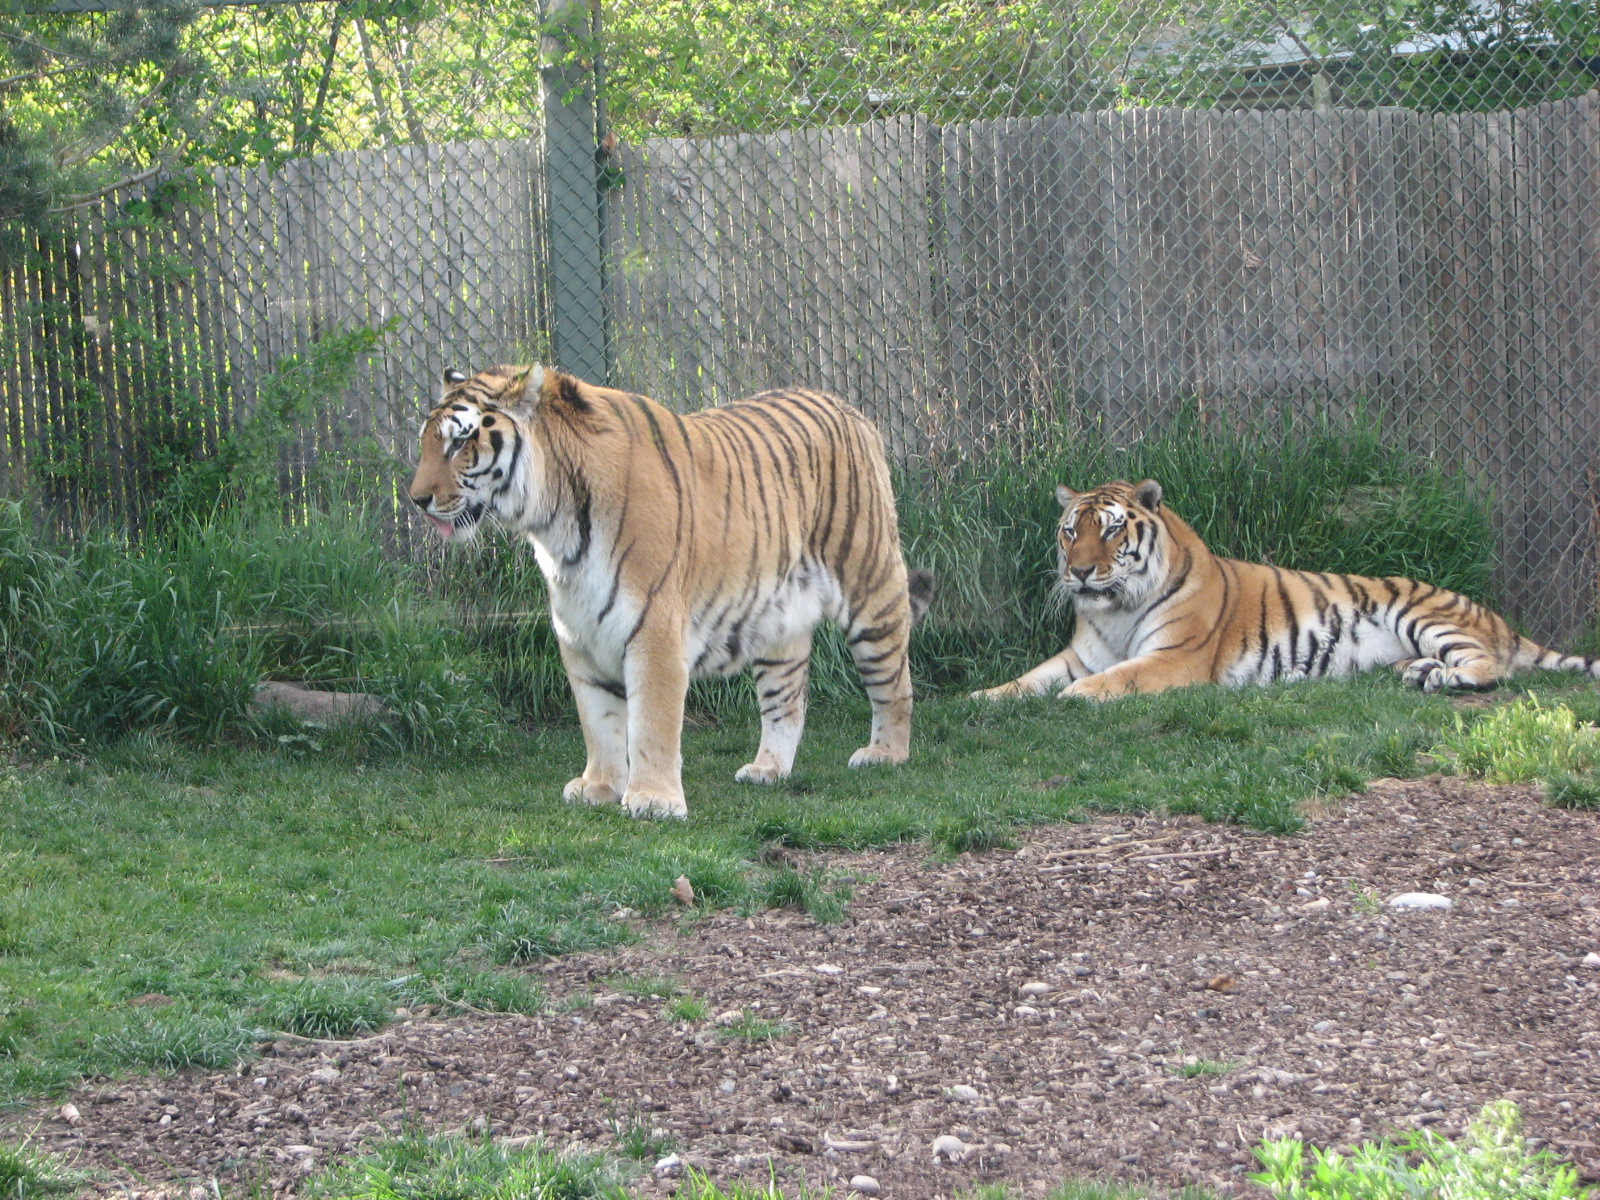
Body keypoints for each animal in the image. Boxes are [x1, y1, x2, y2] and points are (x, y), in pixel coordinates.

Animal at [408, 365, 933, 819]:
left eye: (460, 441)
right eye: (427, 443)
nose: (416, 500)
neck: (555, 524)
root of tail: (849, 408)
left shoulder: (653, 627)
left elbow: (651, 721)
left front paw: (653, 800)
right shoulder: (578, 631)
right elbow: (597, 717)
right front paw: (599, 786)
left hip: (870, 587)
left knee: (895, 680)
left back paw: (885, 753)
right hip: (776, 620)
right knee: (787, 700)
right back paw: (768, 769)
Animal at [972, 477, 1599, 701]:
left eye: (1109, 530)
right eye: (1069, 532)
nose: (1078, 572)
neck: (1115, 610)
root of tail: (1501, 620)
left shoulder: (1175, 658)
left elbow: (1117, 678)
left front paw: (1076, 697)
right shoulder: (1079, 654)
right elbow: (1028, 679)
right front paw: (979, 698)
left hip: (1425, 614)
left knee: (1493, 667)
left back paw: (1446, 678)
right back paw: (1419, 673)